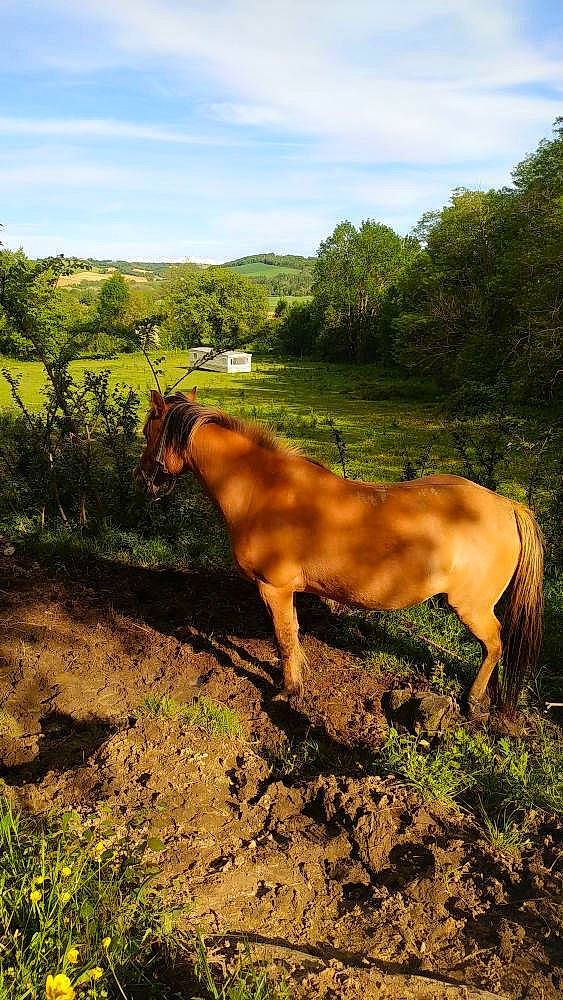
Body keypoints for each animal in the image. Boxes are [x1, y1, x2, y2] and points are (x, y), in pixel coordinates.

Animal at [135, 388, 544, 719]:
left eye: (146, 432)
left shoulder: (274, 588)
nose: (143, 480)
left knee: (494, 644)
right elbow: (291, 636)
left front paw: (289, 690)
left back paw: (473, 701)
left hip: (472, 607)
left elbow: (285, 638)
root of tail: (507, 505)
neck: (262, 489)